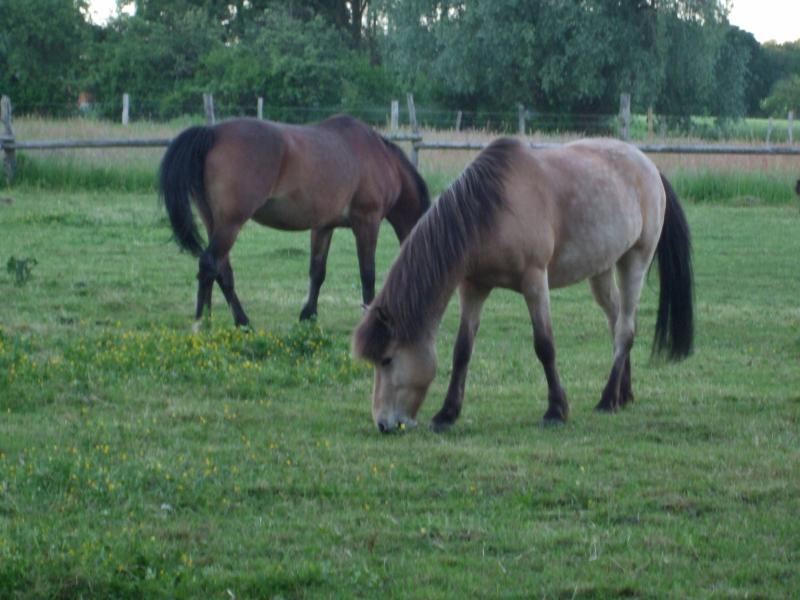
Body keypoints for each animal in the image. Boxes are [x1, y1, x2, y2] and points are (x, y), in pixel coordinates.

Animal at [159, 116, 428, 328]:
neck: (380, 157)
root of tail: (213, 133)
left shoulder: (323, 226)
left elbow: (317, 271)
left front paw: (308, 315)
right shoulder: (367, 221)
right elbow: (367, 273)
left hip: (215, 223)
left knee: (221, 270)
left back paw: (238, 321)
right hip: (230, 224)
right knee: (209, 265)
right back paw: (202, 324)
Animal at [354, 138, 692, 434]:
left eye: (387, 359)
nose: (383, 424)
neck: (492, 211)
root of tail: (649, 165)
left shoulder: (534, 281)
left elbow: (544, 346)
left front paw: (556, 411)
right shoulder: (473, 287)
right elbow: (462, 350)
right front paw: (447, 414)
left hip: (635, 261)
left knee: (625, 329)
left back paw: (608, 399)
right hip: (602, 269)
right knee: (617, 321)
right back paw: (624, 393)